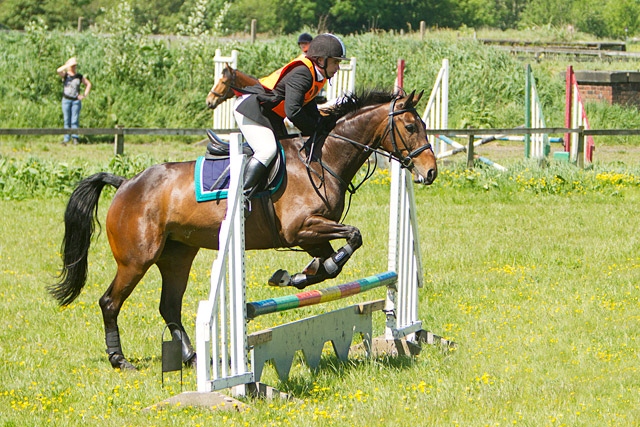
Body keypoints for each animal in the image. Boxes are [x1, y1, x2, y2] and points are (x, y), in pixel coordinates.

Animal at [50, 89, 438, 372]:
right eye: (410, 127)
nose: (430, 172)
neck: (321, 159)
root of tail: (126, 183)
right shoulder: (302, 229)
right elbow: (353, 237)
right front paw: (297, 275)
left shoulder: (311, 237)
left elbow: (330, 266)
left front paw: (295, 276)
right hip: (136, 259)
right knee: (110, 302)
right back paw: (120, 360)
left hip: (177, 256)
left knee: (170, 306)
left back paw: (193, 358)